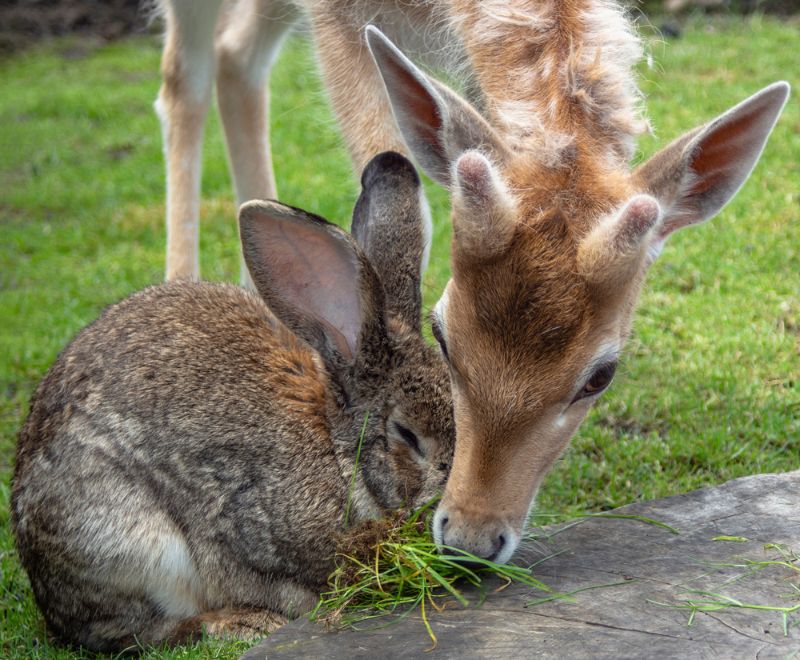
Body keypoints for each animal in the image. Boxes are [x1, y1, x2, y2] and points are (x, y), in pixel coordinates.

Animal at [156, 1, 788, 568]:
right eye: (443, 337)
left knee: (237, 54)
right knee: (185, 77)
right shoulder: (333, 16)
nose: (469, 539)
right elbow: (388, 159)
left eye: (600, 376)